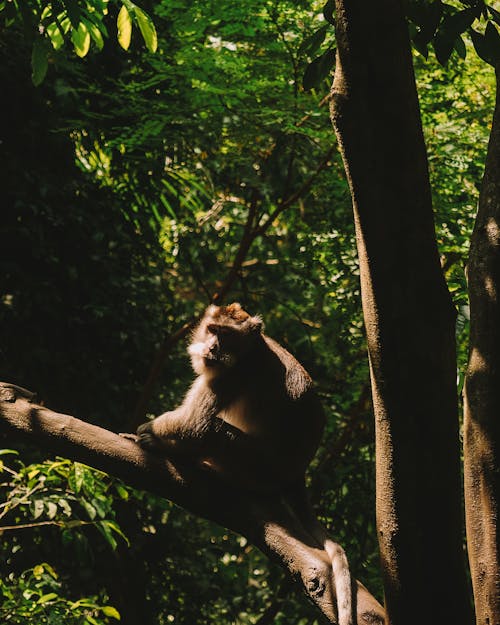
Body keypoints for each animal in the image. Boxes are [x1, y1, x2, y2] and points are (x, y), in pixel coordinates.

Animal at [138, 304, 352, 624]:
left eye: (226, 335)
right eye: (212, 329)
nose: (212, 348)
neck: (250, 350)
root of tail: (296, 473)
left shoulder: (231, 376)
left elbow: (193, 425)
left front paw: (146, 431)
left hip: (254, 466)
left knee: (212, 430)